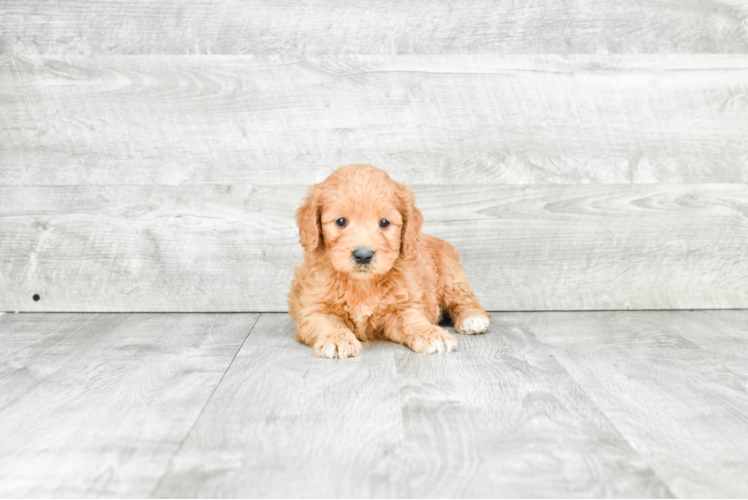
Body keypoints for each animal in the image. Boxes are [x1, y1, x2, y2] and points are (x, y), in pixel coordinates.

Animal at [286, 166, 490, 358]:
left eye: (384, 223)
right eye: (341, 221)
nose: (363, 255)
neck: (362, 284)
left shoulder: (402, 306)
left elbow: (413, 320)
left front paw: (432, 334)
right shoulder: (314, 309)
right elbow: (328, 324)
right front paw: (337, 340)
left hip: (451, 276)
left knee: (465, 300)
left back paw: (473, 319)